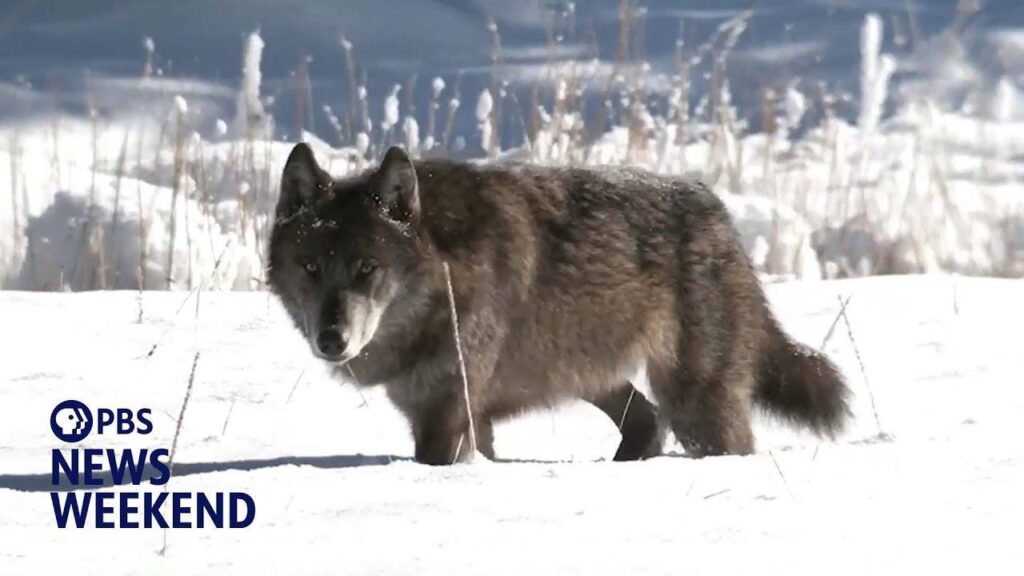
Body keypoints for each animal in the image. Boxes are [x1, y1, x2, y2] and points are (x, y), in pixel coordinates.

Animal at [268, 143, 850, 465]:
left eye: (368, 268)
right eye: (311, 268)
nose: (332, 339)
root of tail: (719, 212)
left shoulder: (446, 413)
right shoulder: (464, 416)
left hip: (695, 404)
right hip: (588, 374)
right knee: (646, 422)